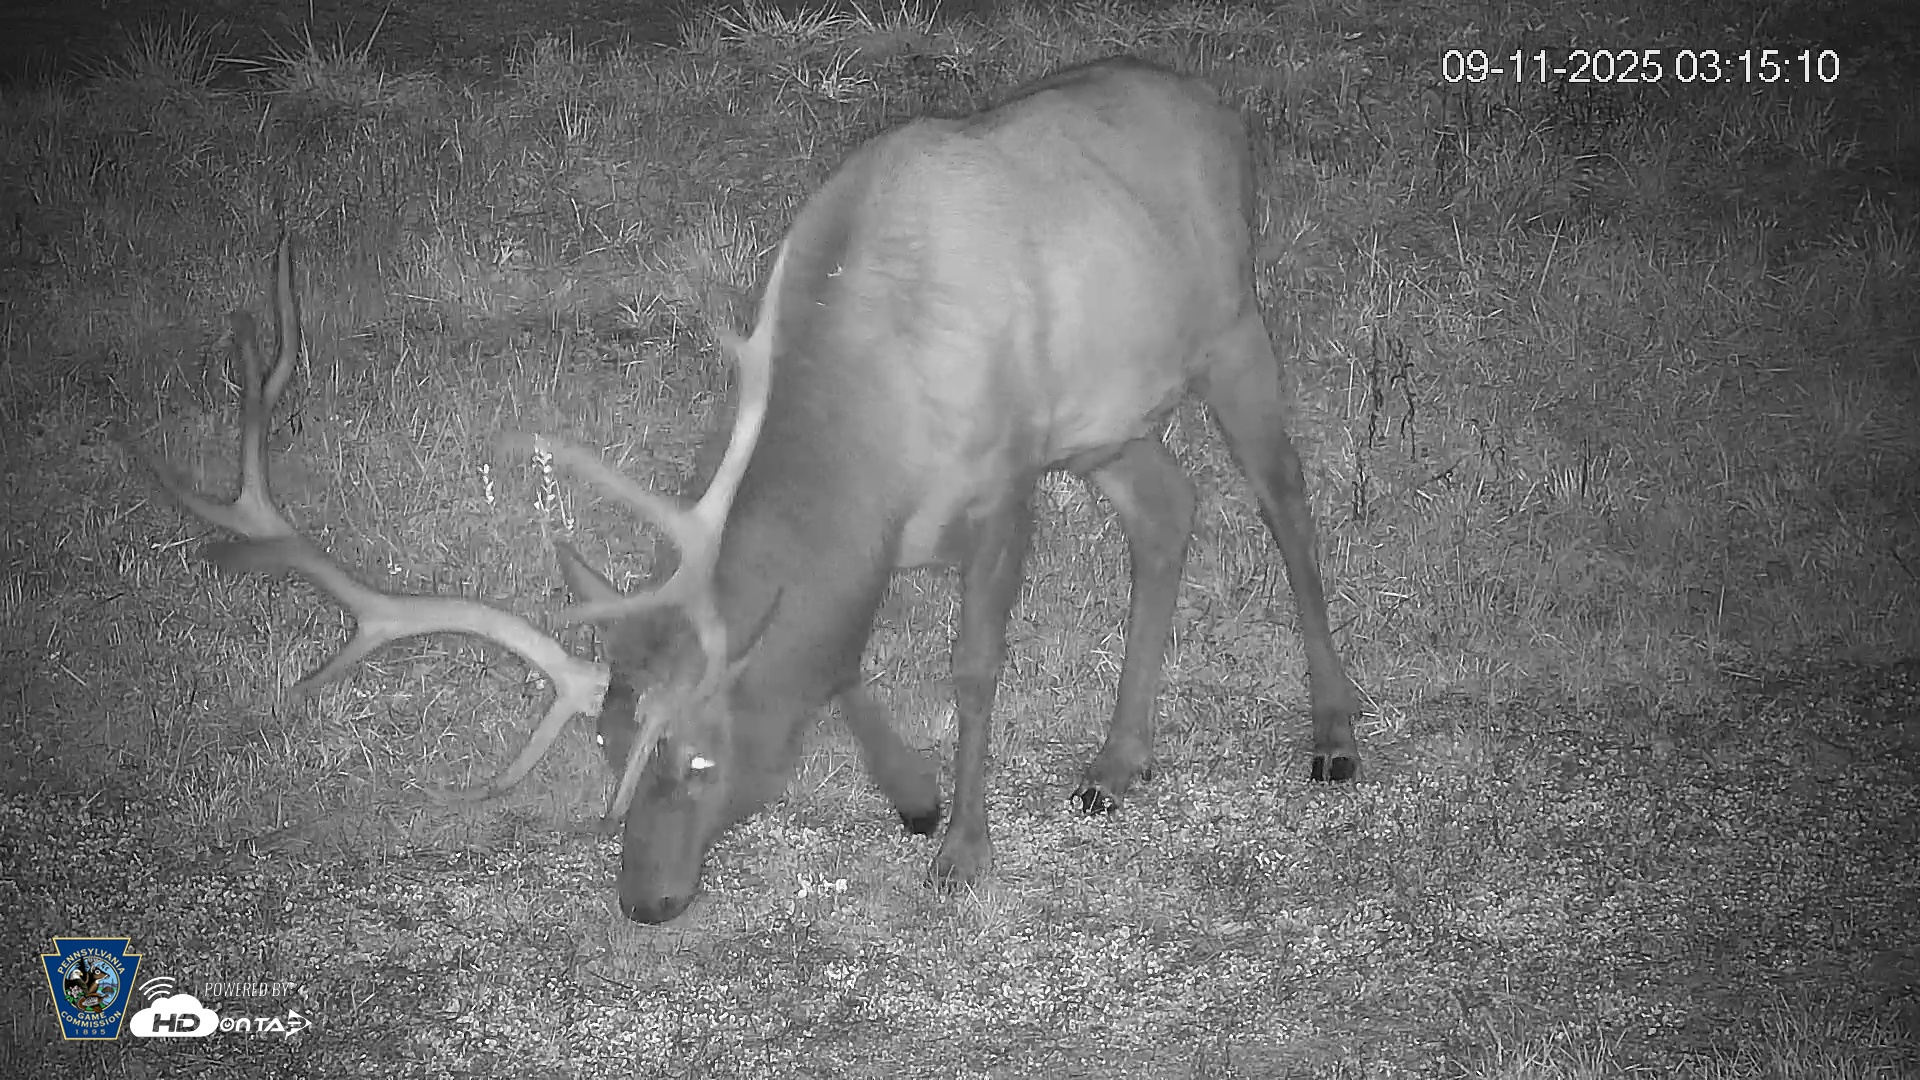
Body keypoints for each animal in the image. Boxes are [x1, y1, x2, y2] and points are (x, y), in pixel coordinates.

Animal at [152, 55, 1361, 925]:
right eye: (609, 753)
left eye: (695, 759)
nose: (645, 902)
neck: (873, 421)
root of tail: (1217, 110)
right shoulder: (901, 528)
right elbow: (836, 657)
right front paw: (915, 798)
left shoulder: (1007, 477)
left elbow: (973, 669)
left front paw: (964, 852)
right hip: (1108, 423)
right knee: (1172, 510)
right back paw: (1118, 761)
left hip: (1231, 328)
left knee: (1285, 502)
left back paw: (1336, 733)